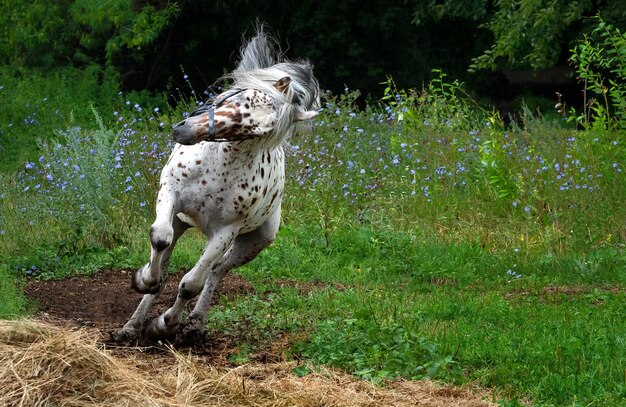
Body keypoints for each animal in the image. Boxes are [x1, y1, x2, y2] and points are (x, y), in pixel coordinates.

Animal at [113, 27, 316, 342]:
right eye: (241, 96)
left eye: (255, 131)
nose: (185, 131)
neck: (218, 169)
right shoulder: (170, 193)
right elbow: (159, 239)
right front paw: (143, 279)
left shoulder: (225, 231)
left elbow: (190, 284)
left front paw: (166, 324)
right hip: (182, 221)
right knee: (167, 256)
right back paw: (133, 324)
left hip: (252, 243)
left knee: (216, 271)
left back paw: (194, 322)